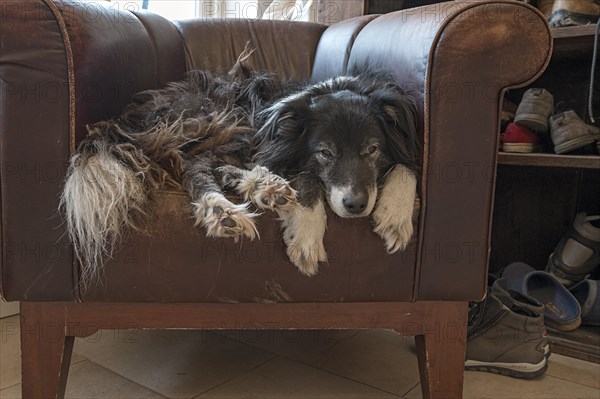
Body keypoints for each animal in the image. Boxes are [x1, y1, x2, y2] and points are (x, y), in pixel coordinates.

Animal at [61, 54, 418, 284]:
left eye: (372, 150)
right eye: (325, 153)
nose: (356, 206)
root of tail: (132, 119)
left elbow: (406, 164)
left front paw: (396, 215)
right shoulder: (274, 144)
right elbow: (307, 178)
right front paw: (306, 235)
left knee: (213, 163)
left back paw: (262, 188)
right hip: (224, 117)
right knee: (193, 164)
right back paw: (223, 208)